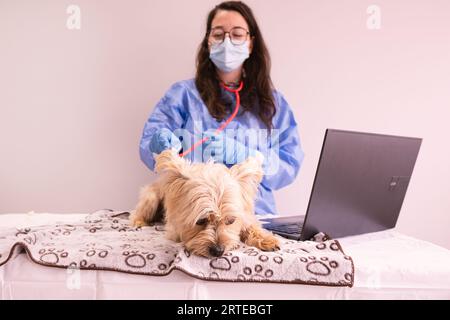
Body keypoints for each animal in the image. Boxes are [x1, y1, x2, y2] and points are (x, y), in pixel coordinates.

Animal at [128, 149, 280, 258]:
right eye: (200, 221)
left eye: (231, 221)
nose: (218, 251)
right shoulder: (174, 229)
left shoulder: (244, 215)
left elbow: (251, 226)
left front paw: (266, 239)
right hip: (151, 198)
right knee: (137, 213)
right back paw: (139, 221)